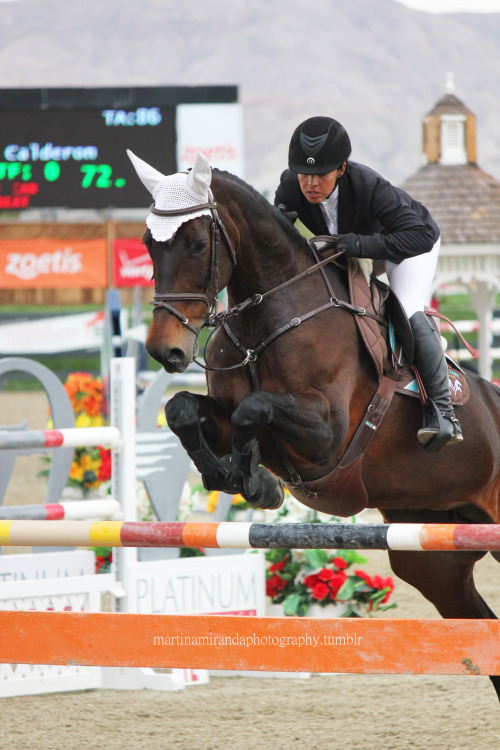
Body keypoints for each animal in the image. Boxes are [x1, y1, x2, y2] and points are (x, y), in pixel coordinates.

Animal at [127, 150, 500, 704]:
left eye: (197, 243)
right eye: (149, 244)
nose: (164, 351)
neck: (265, 320)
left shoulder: (326, 437)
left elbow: (254, 408)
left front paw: (252, 480)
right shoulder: (224, 416)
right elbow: (183, 411)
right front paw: (238, 477)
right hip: (434, 557)